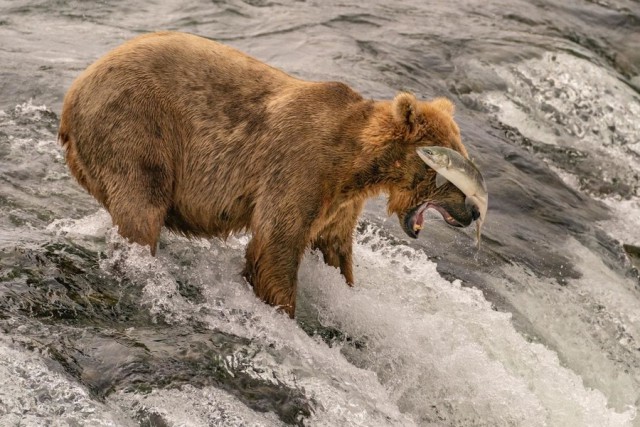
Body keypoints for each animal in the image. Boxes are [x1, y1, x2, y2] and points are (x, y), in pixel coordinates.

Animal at [58, 31, 480, 318]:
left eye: (463, 155)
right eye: (448, 171)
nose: (474, 210)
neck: (356, 163)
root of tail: (73, 93)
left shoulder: (340, 202)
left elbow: (335, 248)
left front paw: (345, 290)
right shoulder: (300, 167)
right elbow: (276, 244)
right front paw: (284, 310)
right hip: (136, 128)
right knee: (141, 207)